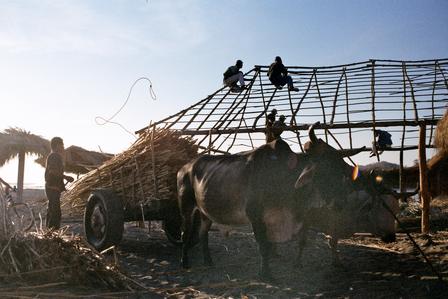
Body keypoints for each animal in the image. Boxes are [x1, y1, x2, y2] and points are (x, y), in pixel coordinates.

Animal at [177, 122, 372, 282]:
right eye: (323, 170)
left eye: (341, 170)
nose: (340, 203)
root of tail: (185, 167)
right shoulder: (255, 216)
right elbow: (263, 245)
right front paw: (266, 275)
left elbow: (283, 244)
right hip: (186, 209)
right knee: (185, 234)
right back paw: (184, 262)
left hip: (205, 213)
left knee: (203, 234)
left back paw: (208, 261)